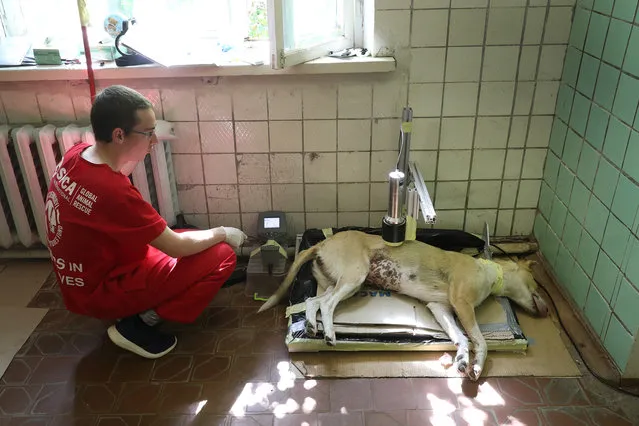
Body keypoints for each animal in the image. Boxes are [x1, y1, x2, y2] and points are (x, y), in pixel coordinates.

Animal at [258, 231, 552, 382]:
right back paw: (329, 334)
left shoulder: (441, 308)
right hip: (355, 276)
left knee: (312, 301)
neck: (490, 272)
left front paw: (461, 360)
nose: (549, 310)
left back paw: (310, 325)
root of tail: (324, 241)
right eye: (536, 283)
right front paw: (477, 367)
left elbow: (461, 339)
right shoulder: (462, 304)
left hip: (342, 283)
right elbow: (480, 341)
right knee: (327, 305)